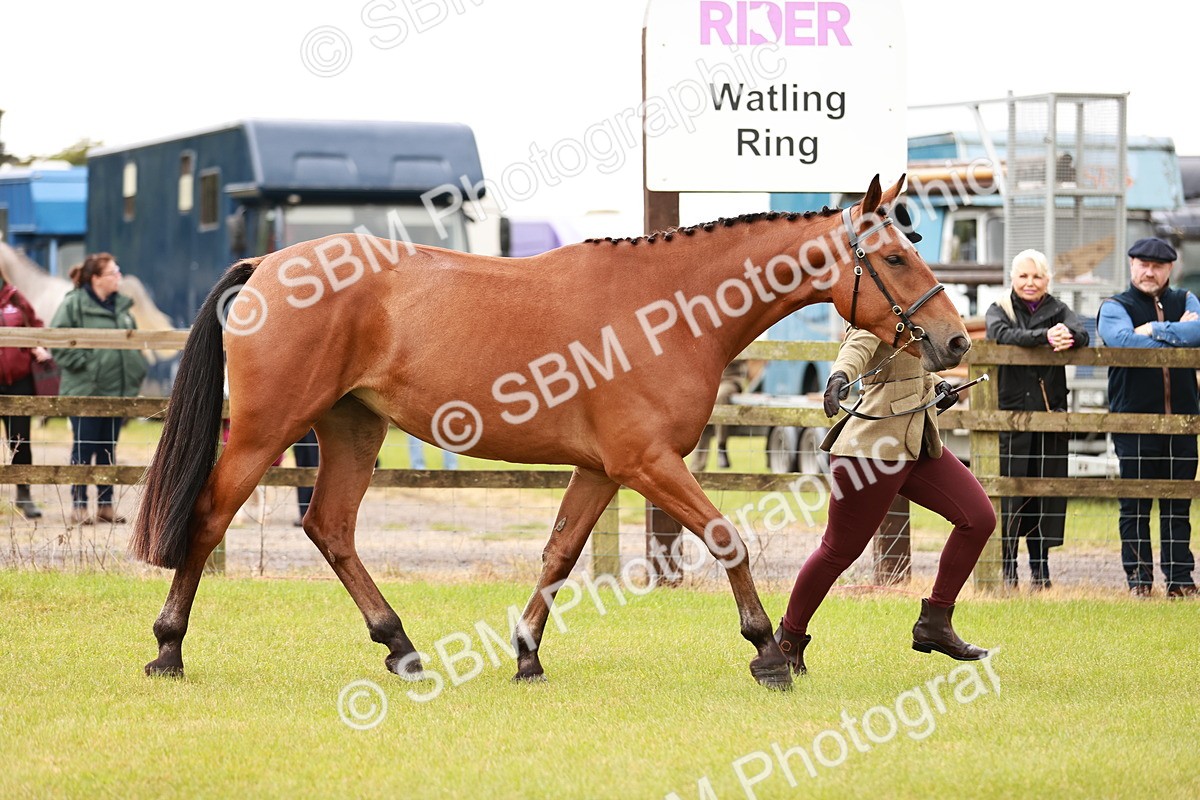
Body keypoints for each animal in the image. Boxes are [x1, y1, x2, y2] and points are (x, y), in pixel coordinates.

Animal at [130, 175, 970, 690]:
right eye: (895, 256)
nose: (956, 341)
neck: (669, 308)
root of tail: (270, 265)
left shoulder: (602, 469)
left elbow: (560, 554)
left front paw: (528, 657)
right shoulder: (649, 463)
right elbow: (726, 539)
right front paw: (767, 650)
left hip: (353, 430)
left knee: (330, 527)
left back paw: (401, 646)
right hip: (265, 429)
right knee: (210, 516)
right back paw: (168, 647)